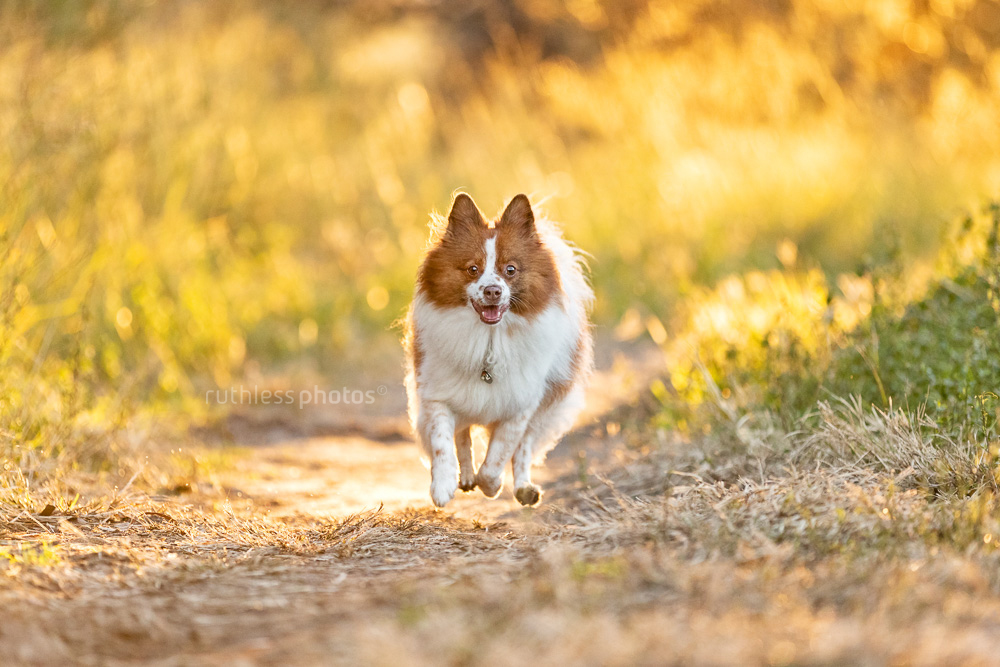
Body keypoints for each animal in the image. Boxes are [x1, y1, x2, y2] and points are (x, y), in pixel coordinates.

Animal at [404, 193, 592, 506]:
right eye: (473, 269)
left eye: (510, 270)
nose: (493, 290)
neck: (489, 343)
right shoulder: (437, 394)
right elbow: (444, 444)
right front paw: (443, 485)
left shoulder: (521, 406)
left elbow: (500, 456)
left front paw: (491, 486)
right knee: (462, 436)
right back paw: (466, 477)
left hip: (547, 408)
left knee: (524, 449)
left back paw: (523, 489)